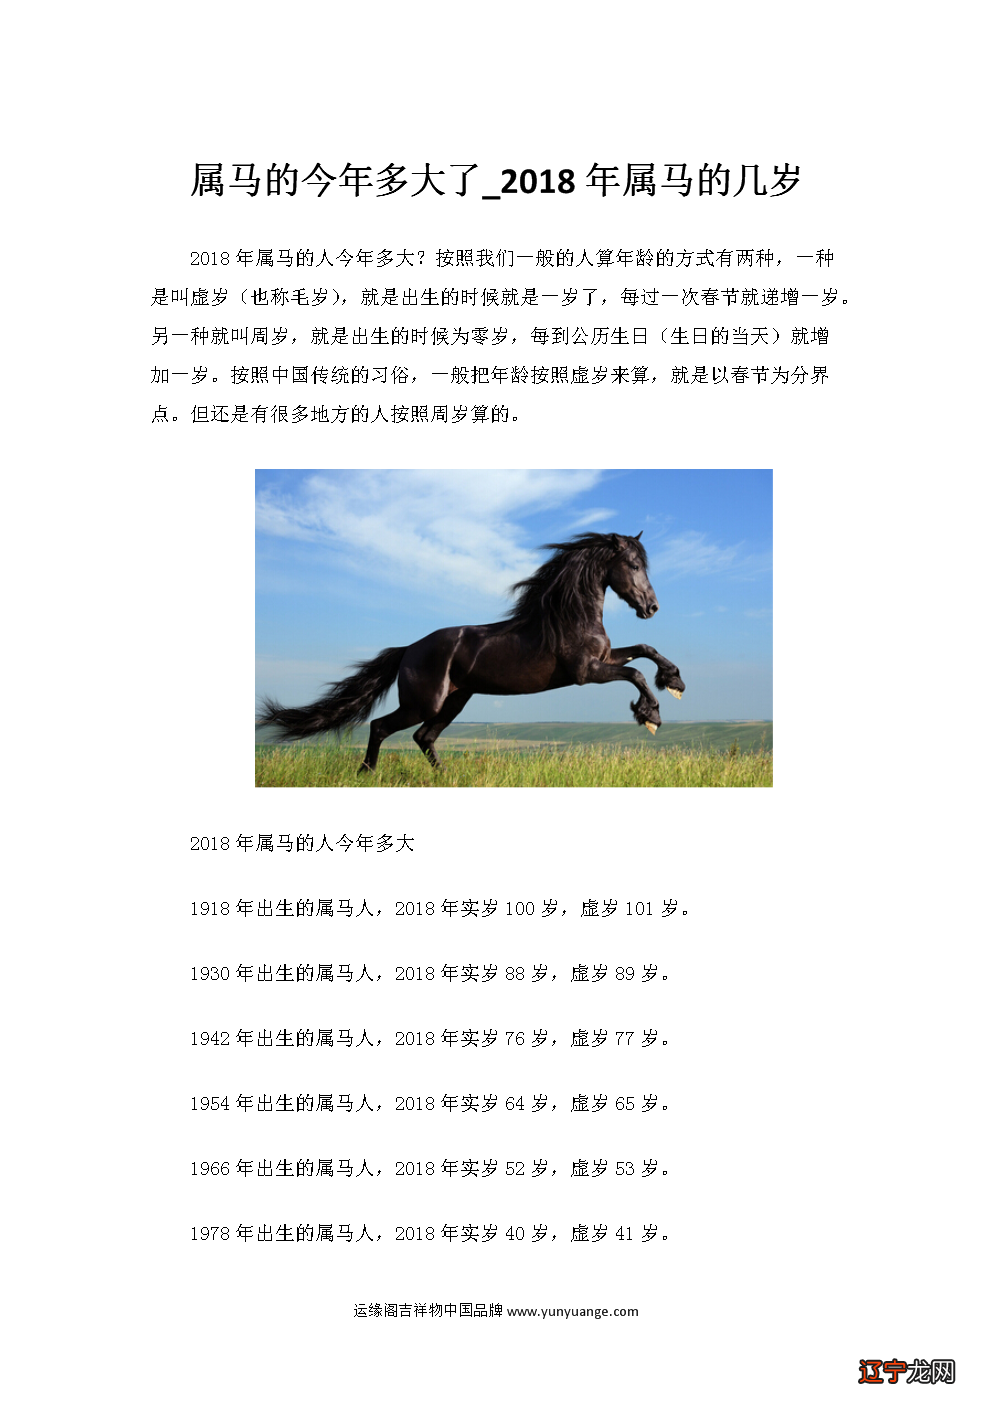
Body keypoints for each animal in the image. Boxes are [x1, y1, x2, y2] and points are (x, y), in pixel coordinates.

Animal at [257, 531, 685, 772]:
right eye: (633, 565)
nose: (651, 607)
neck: (570, 617)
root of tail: (408, 650)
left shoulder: (603, 659)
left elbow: (644, 649)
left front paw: (674, 681)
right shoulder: (585, 672)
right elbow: (635, 673)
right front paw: (650, 715)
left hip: (455, 700)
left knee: (424, 737)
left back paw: (445, 778)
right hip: (424, 702)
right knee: (382, 727)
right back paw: (366, 773)